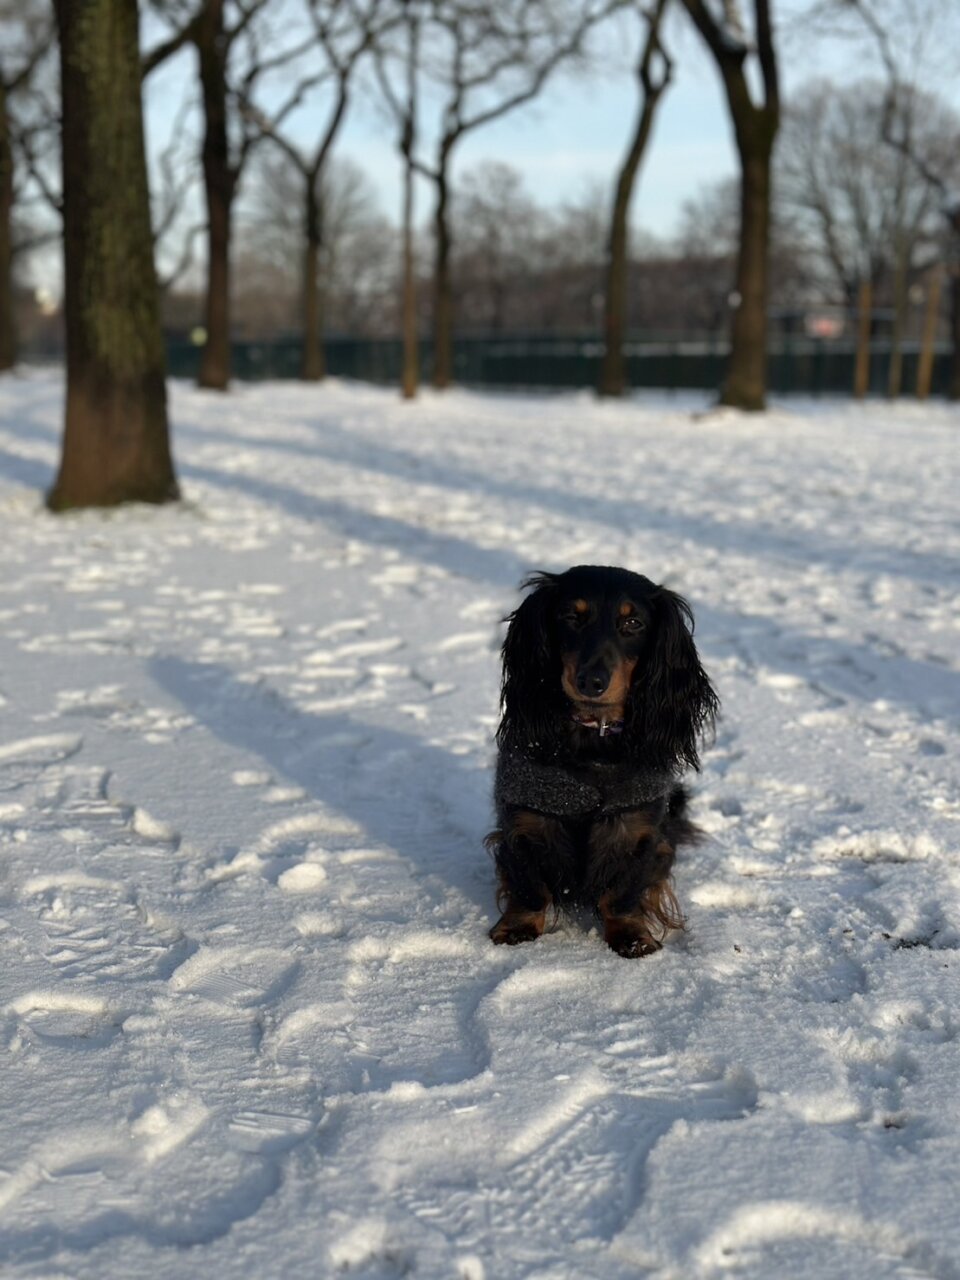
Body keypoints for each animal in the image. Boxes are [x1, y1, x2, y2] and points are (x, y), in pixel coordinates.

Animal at [491, 565, 716, 957]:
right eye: (570, 616)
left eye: (633, 623)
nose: (591, 681)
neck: (592, 738)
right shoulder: (523, 822)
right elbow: (528, 886)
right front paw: (517, 927)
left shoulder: (639, 830)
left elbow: (622, 893)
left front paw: (631, 936)